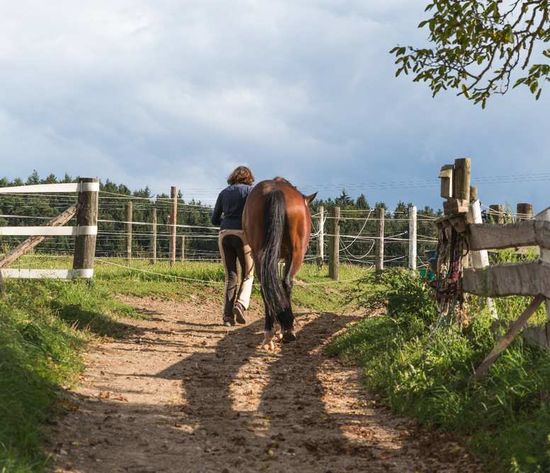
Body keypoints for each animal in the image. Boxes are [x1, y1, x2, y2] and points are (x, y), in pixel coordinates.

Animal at [244, 176, 316, 346]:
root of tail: (274, 190)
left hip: (259, 255)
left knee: (266, 286)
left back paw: (269, 330)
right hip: (296, 254)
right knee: (286, 282)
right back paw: (288, 330)